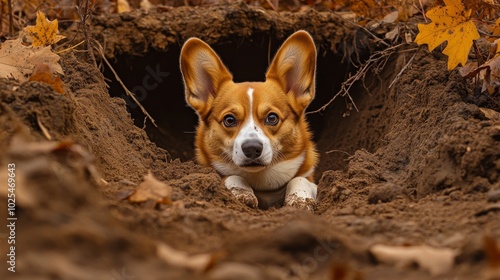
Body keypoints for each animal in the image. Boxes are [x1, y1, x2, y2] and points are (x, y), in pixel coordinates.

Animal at [182, 30, 318, 210]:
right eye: (229, 120)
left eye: (272, 118)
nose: (252, 148)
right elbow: (231, 176)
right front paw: (243, 193)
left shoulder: (310, 179)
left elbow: (300, 179)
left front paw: (300, 200)